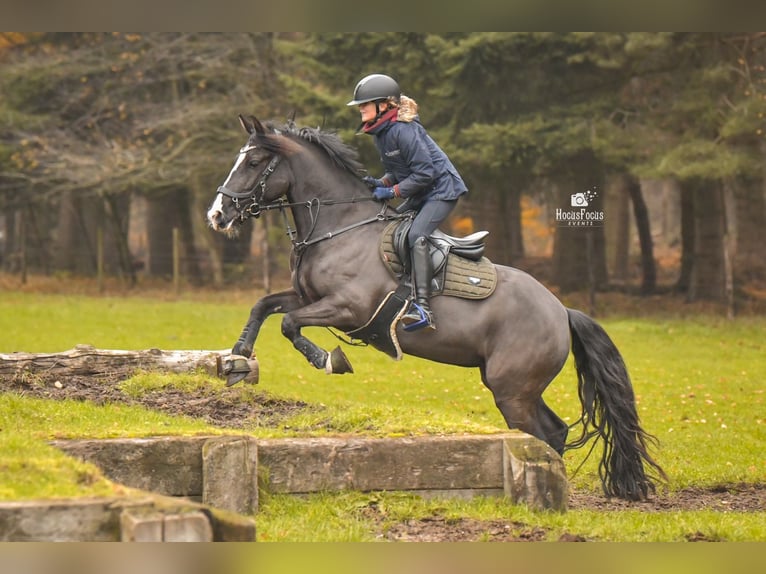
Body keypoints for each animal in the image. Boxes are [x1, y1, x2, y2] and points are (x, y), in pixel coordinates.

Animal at [208, 115, 664, 502]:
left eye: (253, 162)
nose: (217, 215)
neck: (338, 228)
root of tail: (562, 311)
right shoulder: (307, 296)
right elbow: (264, 306)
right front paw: (237, 358)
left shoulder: (348, 309)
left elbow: (289, 324)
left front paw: (328, 359)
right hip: (517, 386)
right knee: (555, 431)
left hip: (512, 389)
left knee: (538, 433)